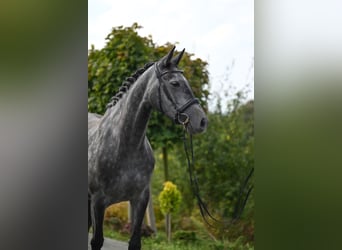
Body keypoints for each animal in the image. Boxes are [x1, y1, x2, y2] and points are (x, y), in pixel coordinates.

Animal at [88, 47, 207, 250]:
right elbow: (96, 241)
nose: (202, 121)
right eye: (175, 83)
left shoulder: (141, 199)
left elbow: (135, 242)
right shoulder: (98, 202)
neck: (124, 145)